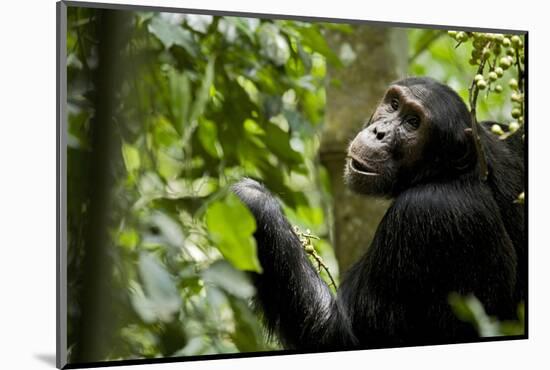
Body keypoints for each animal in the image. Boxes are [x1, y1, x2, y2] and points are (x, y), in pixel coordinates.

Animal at [232, 77, 528, 350]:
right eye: (394, 104)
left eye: (413, 122)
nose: (379, 132)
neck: (450, 173)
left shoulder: (426, 211)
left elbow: (343, 334)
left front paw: (253, 199)